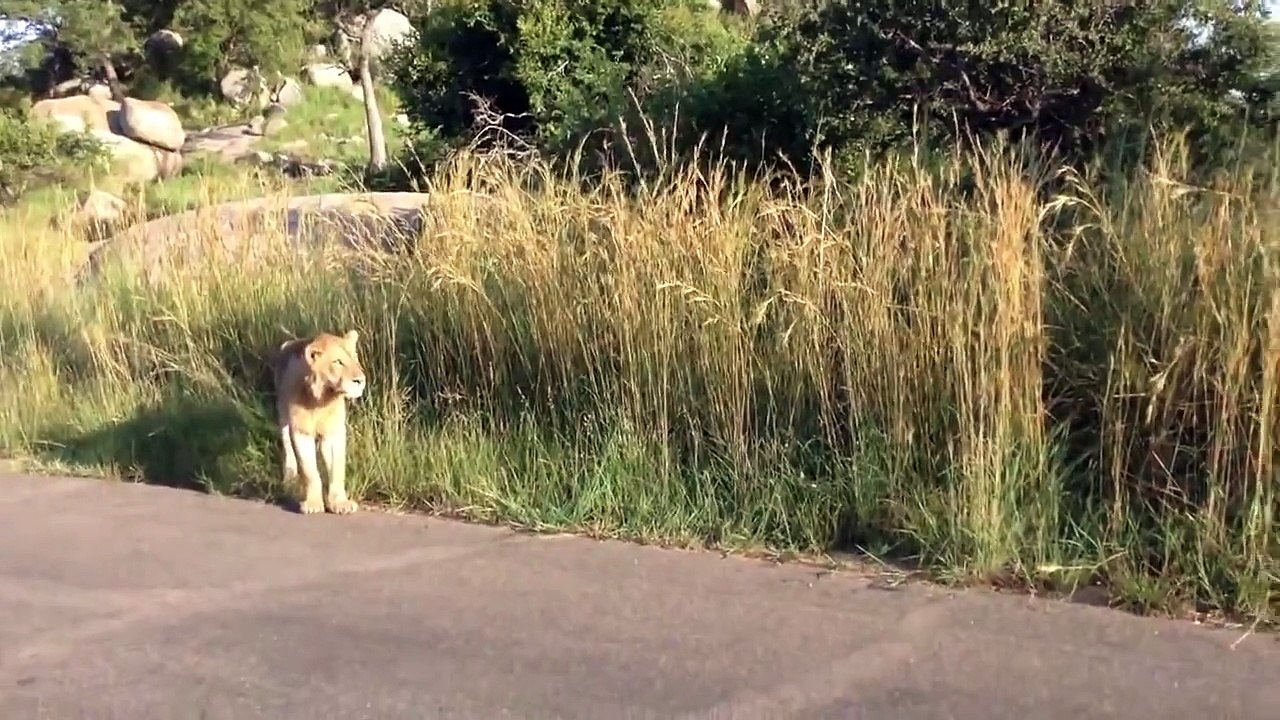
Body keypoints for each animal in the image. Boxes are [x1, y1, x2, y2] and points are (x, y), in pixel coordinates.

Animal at [271, 329, 367, 515]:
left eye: (355, 358)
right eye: (338, 362)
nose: (360, 380)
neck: (321, 398)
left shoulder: (333, 432)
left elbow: (337, 469)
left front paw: (340, 503)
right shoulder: (301, 432)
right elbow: (310, 471)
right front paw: (313, 504)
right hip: (283, 416)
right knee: (288, 448)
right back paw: (290, 480)